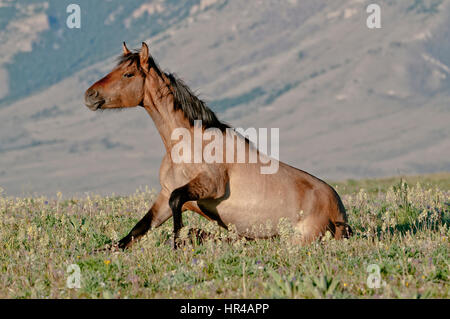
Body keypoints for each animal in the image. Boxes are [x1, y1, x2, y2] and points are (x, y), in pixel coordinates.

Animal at [83, 42, 352, 251]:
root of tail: (339, 212)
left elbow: (176, 201)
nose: (89, 95)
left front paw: (177, 242)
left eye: (128, 74)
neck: (187, 146)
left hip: (295, 239)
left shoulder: (210, 185)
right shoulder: (164, 194)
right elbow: (138, 229)